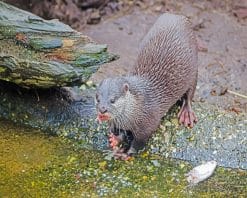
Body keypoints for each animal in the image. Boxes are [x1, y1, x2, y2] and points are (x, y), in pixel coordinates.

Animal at [95, 13, 198, 159]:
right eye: (97, 99)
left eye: (113, 100)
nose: (102, 109)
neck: (138, 108)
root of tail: (176, 15)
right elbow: (121, 132)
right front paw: (116, 140)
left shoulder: (147, 125)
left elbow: (139, 143)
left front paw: (125, 153)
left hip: (194, 68)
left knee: (190, 94)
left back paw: (186, 113)